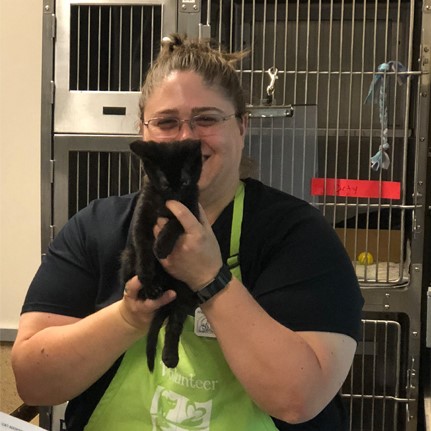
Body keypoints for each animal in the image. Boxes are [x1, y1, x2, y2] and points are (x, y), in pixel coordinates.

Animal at [120, 138, 203, 372]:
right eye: (165, 185)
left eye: (184, 183)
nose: (175, 196)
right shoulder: (142, 219)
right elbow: (144, 251)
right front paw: (148, 282)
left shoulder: (191, 210)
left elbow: (175, 223)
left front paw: (162, 245)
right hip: (127, 256)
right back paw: (147, 290)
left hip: (183, 290)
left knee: (174, 325)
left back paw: (170, 357)